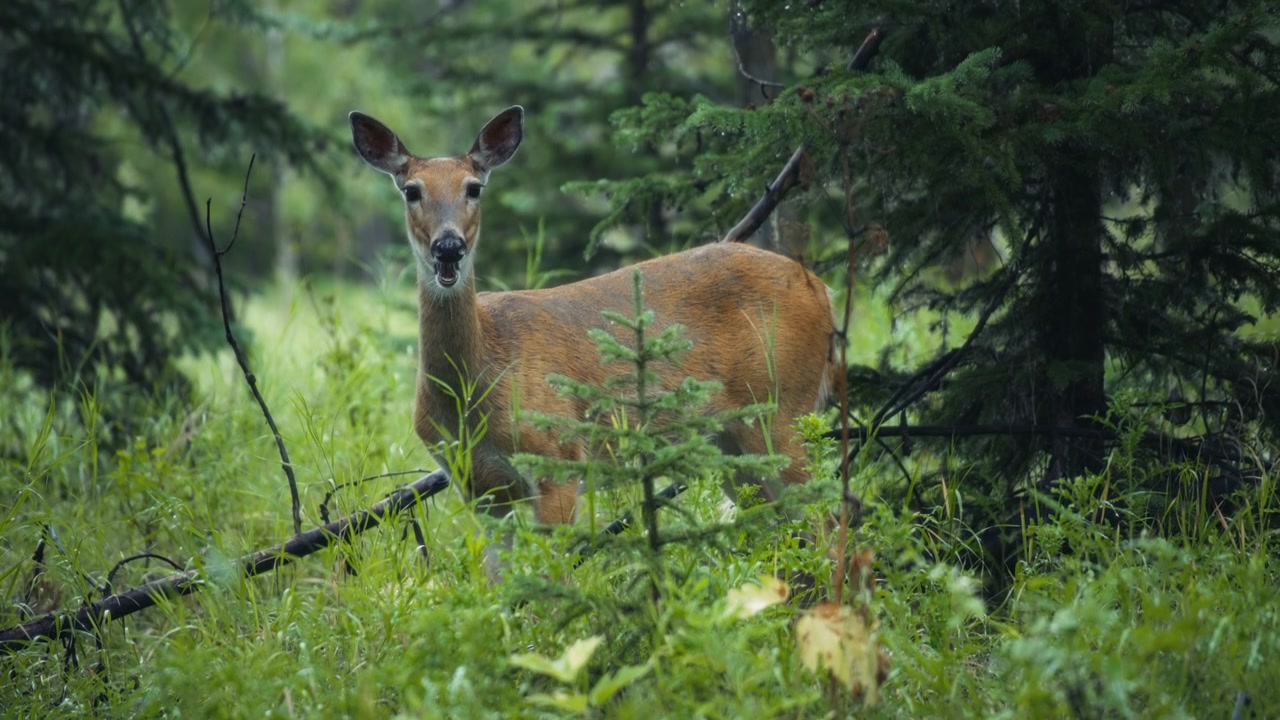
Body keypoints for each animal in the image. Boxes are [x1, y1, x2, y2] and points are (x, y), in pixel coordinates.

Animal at [348, 105, 838, 578]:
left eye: (474, 188)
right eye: (411, 190)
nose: (448, 247)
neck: (475, 386)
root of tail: (821, 289)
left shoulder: (559, 457)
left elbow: (556, 579)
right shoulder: (482, 489)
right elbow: (497, 586)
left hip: (783, 408)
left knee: (829, 524)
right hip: (730, 445)